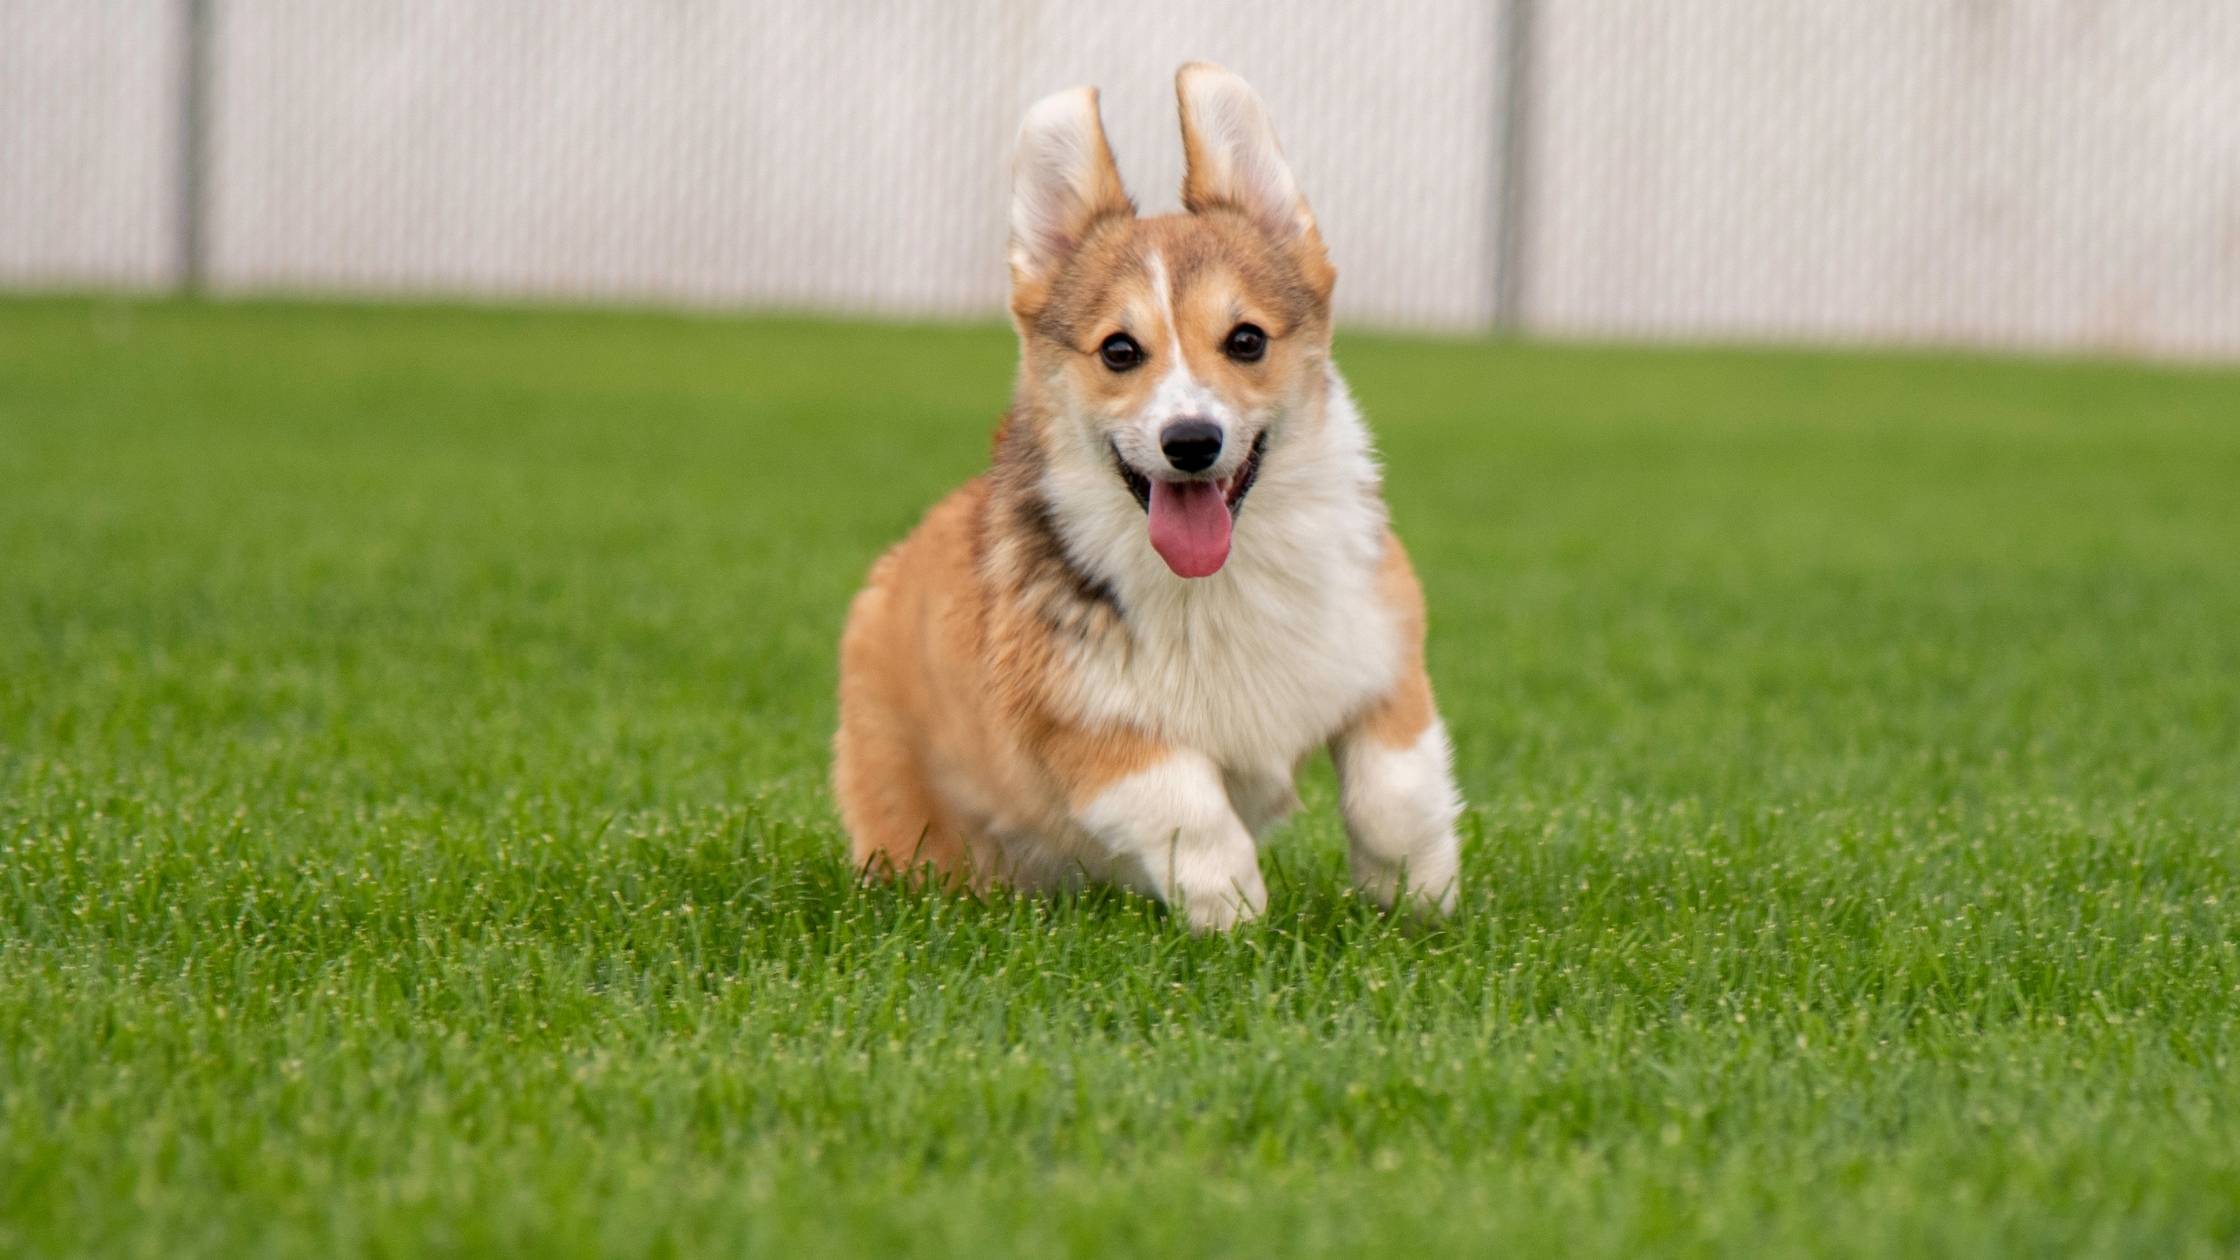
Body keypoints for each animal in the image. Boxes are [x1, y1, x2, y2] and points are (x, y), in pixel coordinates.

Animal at [833, 63, 1460, 928]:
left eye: (1246, 340)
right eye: (1120, 351)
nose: (1191, 442)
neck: (1224, 582)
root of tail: (893, 567)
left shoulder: (1385, 655)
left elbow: (1398, 790)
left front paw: (1419, 899)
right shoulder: (1092, 727)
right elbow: (1190, 811)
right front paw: (1235, 915)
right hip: (910, 815)